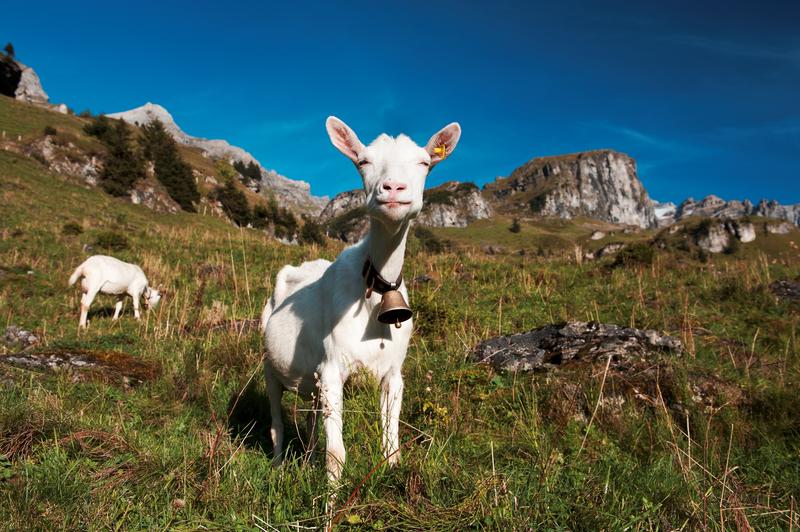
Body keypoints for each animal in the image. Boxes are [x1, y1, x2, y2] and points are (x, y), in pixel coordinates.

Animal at [262, 116, 462, 482]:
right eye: (363, 161)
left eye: (424, 163)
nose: (393, 189)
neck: (374, 289)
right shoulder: (331, 368)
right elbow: (336, 454)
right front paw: (328, 499)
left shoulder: (393, 373)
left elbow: (391, 444)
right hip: (270, 366)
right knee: (276, 423)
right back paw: (280, 466)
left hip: (311, 384)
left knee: (310, 422)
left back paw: (305, 458)